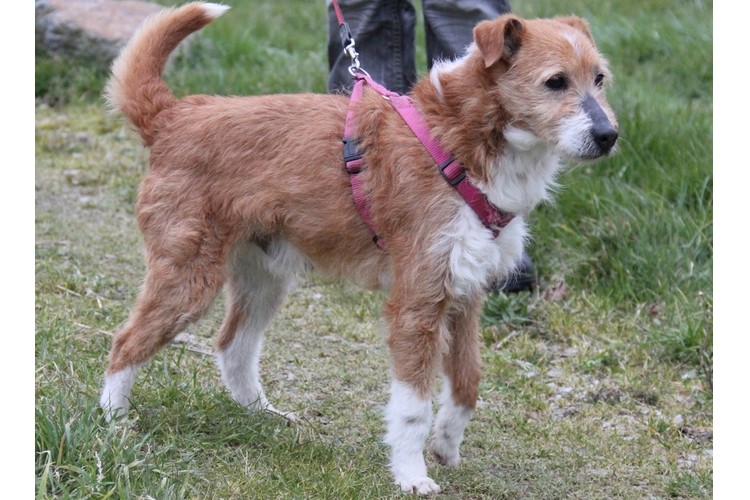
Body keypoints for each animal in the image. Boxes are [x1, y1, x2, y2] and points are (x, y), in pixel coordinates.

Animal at [98, 2, 616, 496]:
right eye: (555, 82)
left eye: (599, 78)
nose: (608, 136)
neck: (460, 139)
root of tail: (173, 116)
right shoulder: (418, 305)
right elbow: (413, 407)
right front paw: (411, 474)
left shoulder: (465, 294)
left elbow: (467, 384)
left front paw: (447, 444)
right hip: (188, 279)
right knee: (126, 343)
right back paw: (113, 422)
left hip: (264, 278)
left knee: (232, 347)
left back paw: (262, 415)